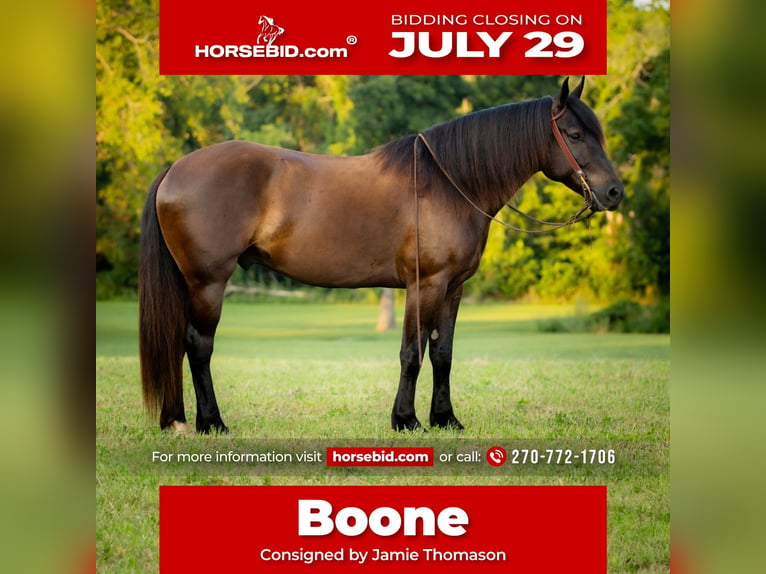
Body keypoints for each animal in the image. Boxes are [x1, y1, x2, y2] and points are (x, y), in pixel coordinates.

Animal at [141, 77, 628, 436]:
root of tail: (176, 169)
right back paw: (211, 423)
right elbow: (412, 353)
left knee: (179, 343)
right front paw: (406, 420)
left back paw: (177, 420)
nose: (613, 193)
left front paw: (445, 419)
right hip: (207, 282)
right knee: (198, 345)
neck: (447, 184)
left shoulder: (453, 289)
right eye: (575, 134)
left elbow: (443, 354)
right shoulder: (425, 284)